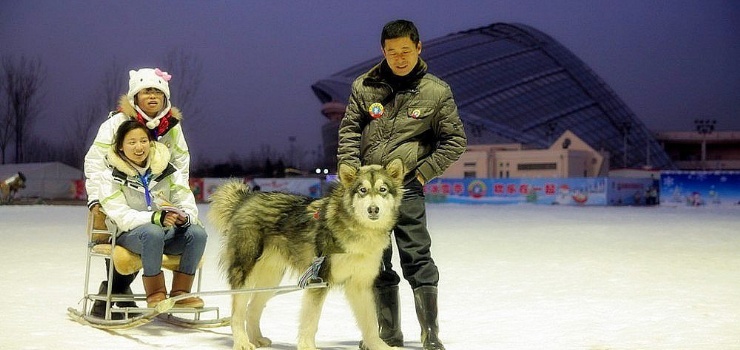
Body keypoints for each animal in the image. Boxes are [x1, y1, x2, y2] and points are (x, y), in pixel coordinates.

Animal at [207, 159, 404, 350]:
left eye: (383, 190)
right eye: (362, 190)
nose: (373, 209)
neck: (358, 230)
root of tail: (245, 199)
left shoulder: (360, 284)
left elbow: (370, 323)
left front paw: (381, 346)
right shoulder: (319, 280)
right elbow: (310, 321)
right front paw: (307, 346)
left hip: (269, 281)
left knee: (251, 310)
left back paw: (256, 338)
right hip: (245, 274)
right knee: (237, 314)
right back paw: (242, 342)